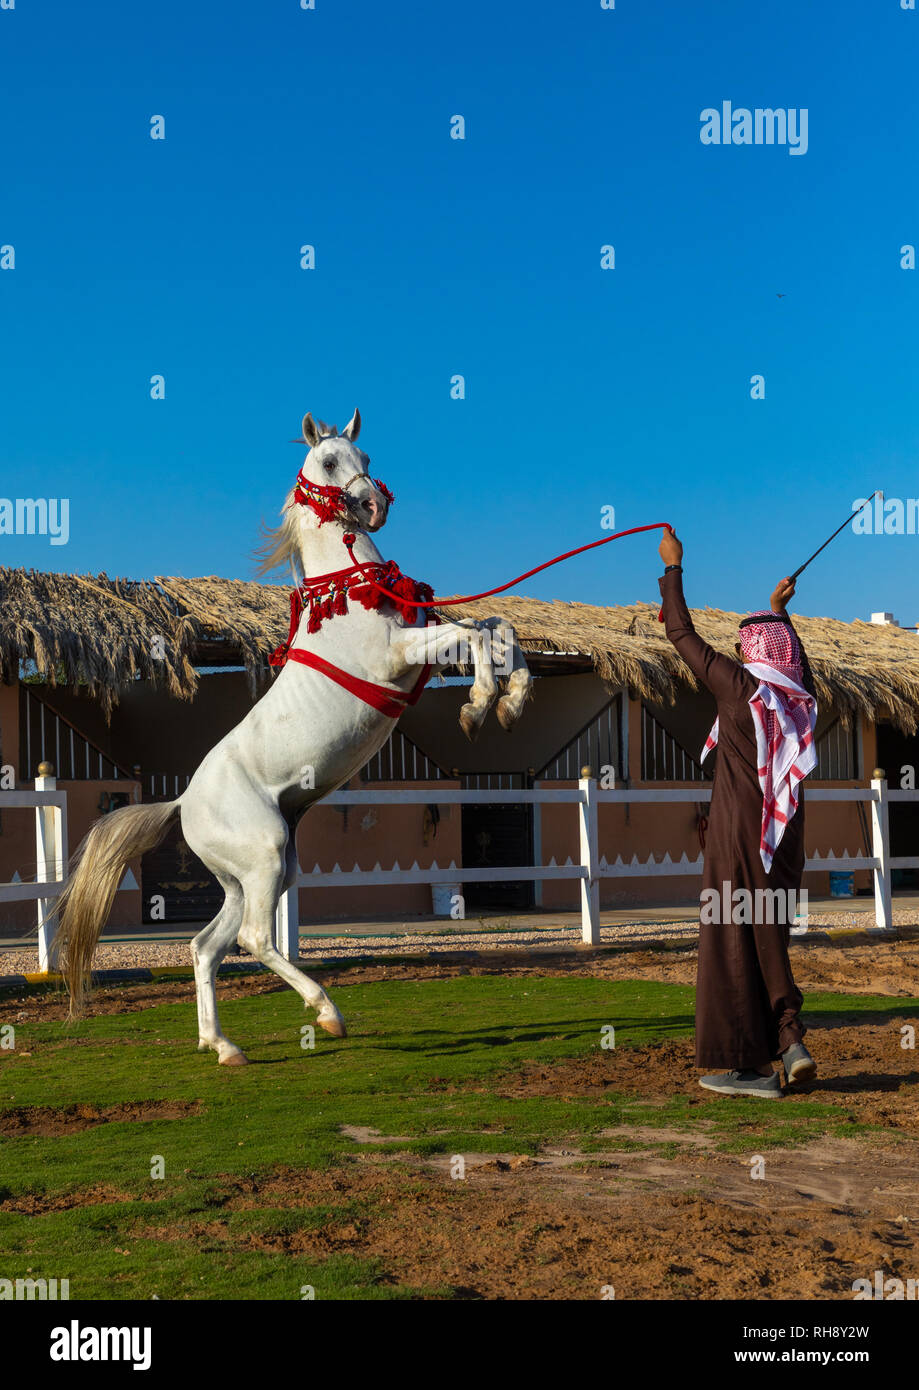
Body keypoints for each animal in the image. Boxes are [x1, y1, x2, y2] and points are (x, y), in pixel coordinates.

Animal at [59, 408, 531, 1061]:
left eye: (367, 456)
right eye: (329, 461)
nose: (373, 506)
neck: (352, 590)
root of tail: (183, 801)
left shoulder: (419, 651)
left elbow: (498, 627)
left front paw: (511, 702)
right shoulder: (399, 656)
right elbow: (476, 636)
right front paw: (480, 706)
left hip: (250, 875)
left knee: (207, 947)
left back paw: (222, 1045)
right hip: (263, 857)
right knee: (256, 940)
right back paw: (326, 1013)